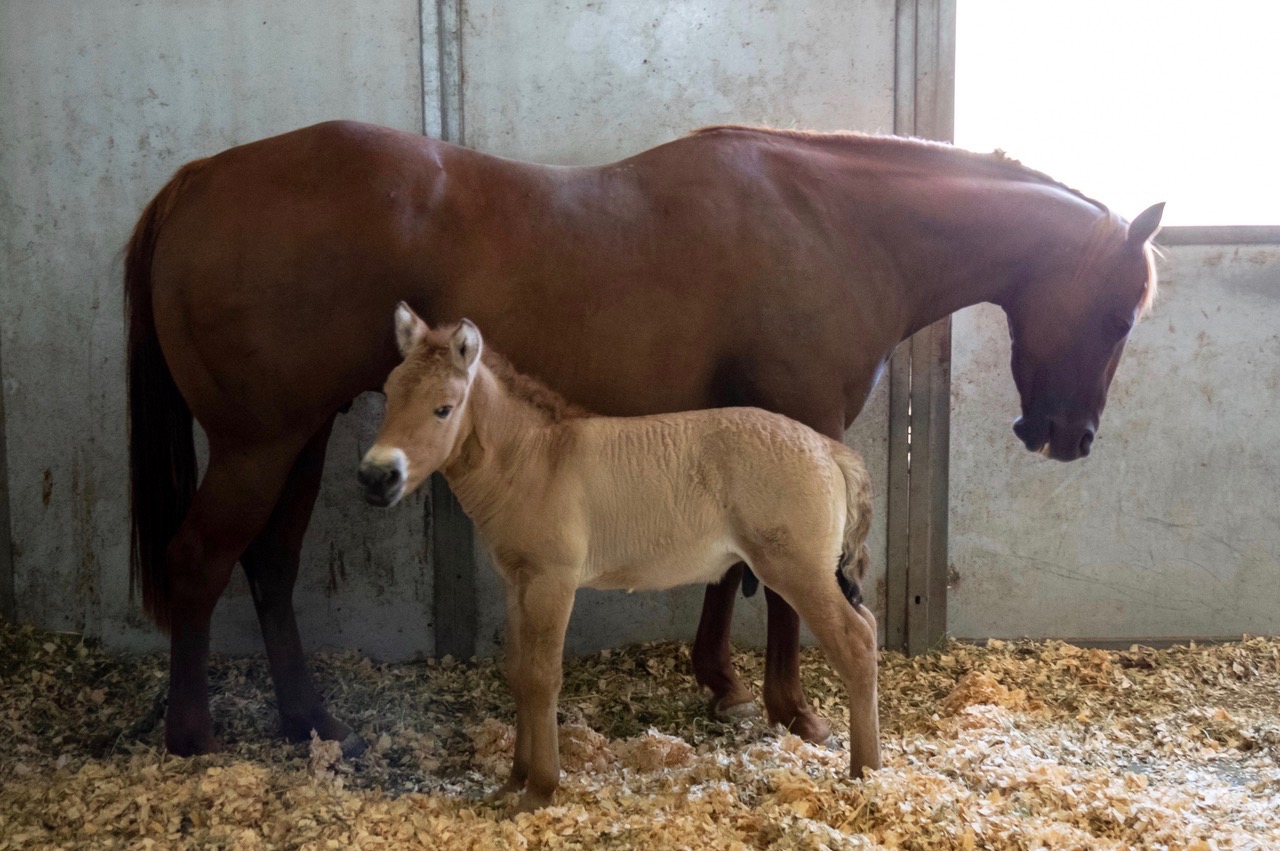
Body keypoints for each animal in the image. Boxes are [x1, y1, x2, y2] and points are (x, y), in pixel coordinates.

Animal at [124, 117, 1167, 752]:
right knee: (200, 561)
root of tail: (195, 181)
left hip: (299, 439)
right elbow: (778, 585)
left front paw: (722, 681)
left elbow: (730, 565)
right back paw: (193, 734)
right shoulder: (797, 423)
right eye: (1120, 313)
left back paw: (311, 719)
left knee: (269, 565)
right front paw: (792, 707)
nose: (1066, 435)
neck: (833, 223)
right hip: (259, 444)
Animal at [360, 307, 880, 808]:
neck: (535, 459)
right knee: (869, 626)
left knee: (855, 643)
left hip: (798, 571)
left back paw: (867, 774)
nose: (376, 477)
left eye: (443, 408)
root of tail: (829, 449)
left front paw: (540, 789)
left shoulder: (552, 582)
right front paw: (512, 783)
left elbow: (543, 678)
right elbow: (519, 674)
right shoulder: (516, 584)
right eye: (388, 395)